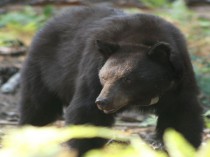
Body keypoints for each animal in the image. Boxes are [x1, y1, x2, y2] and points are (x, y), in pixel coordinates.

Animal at [19, 5, 203, 156]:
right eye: (103, 77)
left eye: (128, 79)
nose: (103, 101)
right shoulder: (92, 70)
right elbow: (86, 113)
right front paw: (84, 149)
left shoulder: (179, 82)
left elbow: (181, 118)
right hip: (43, 71)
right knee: (37, 106)